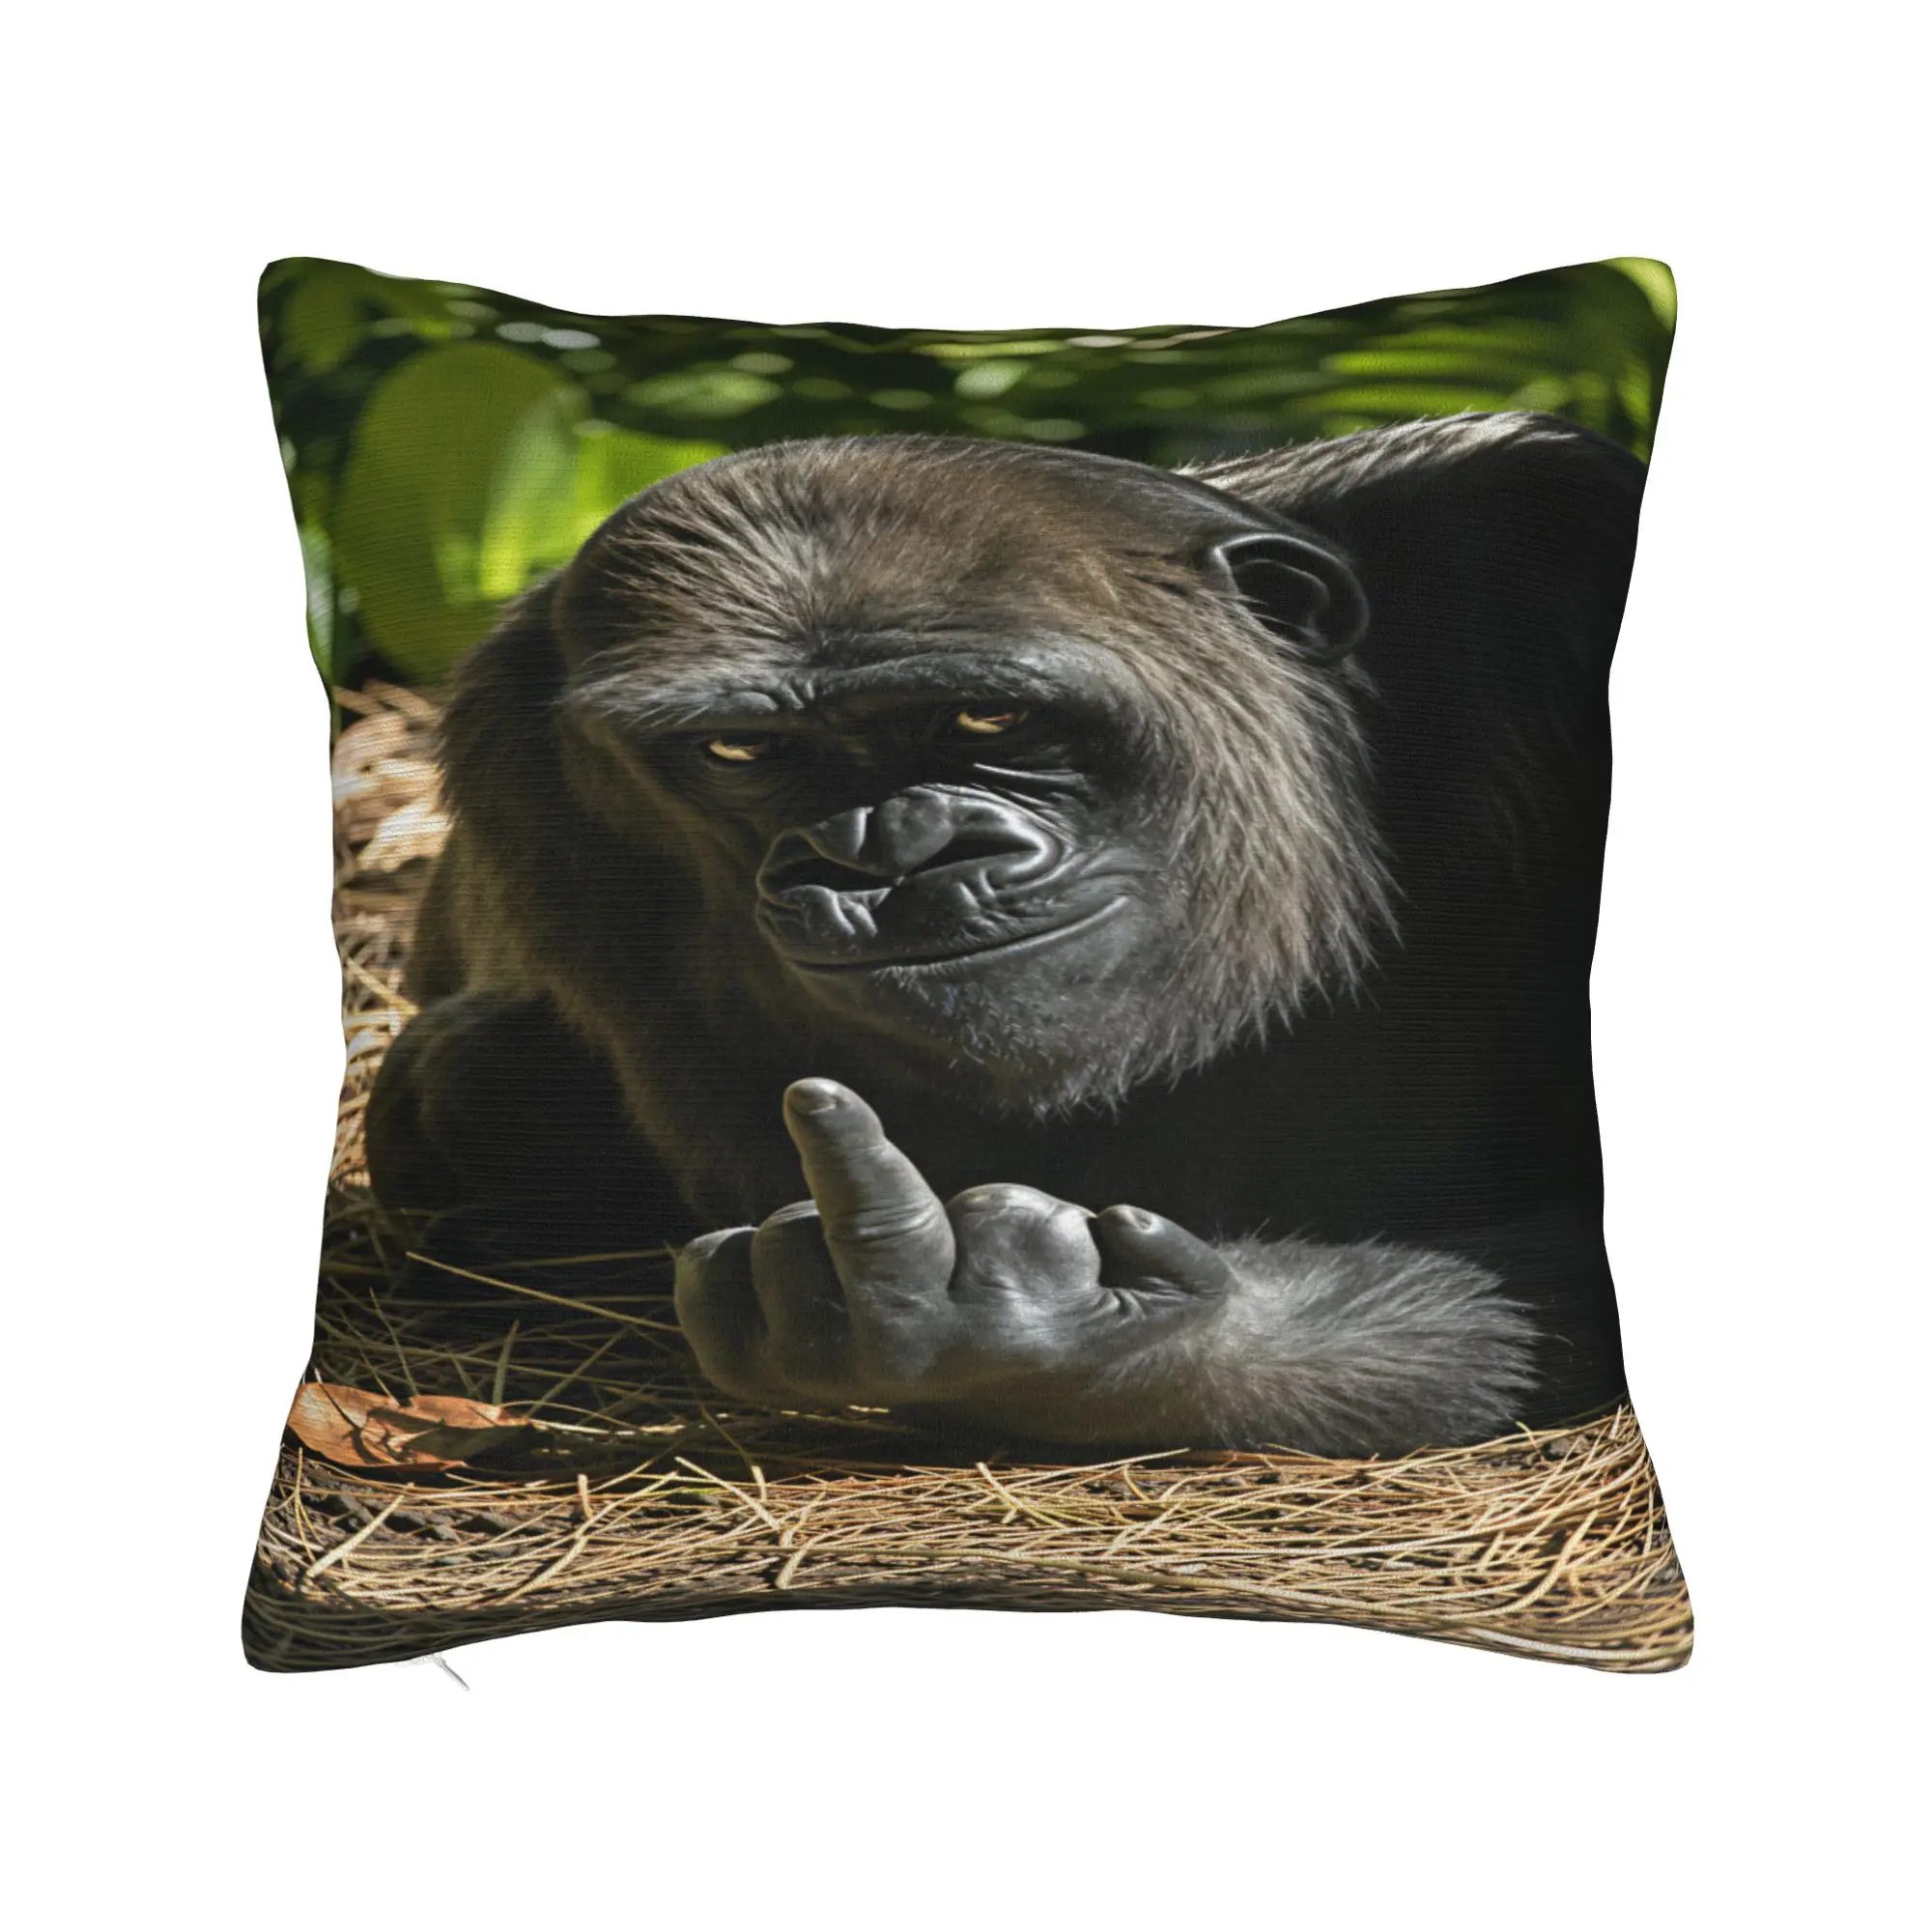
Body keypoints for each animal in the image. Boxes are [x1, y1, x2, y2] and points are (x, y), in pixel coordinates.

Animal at [366, 413, 1646, 1457]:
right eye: (739, 749)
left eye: (988, 715)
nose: (885, 853)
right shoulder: (523, 775)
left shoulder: (1546, 544)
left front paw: (1067, 1335)